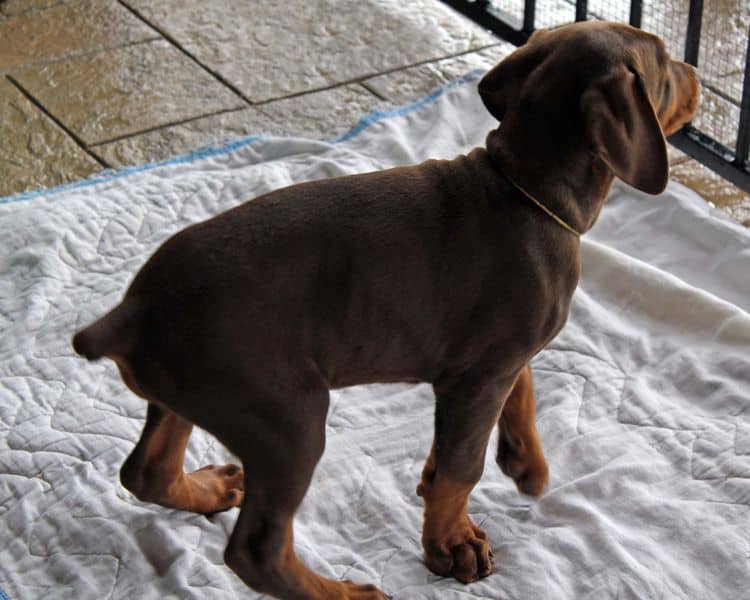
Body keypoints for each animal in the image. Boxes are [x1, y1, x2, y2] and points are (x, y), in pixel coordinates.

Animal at [73, 22, 704, 600]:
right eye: (666, 64)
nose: (699, 76)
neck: (526, 187)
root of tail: (132, 312)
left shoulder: (489, 366)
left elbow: (509, 400)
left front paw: (525, 463)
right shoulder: (482, 374)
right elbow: (462, 466)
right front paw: (451, 545)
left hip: (188, 391)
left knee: (146, 471)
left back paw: (203, 489)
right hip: (287, 417)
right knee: (256, 549)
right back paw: (341, 592)